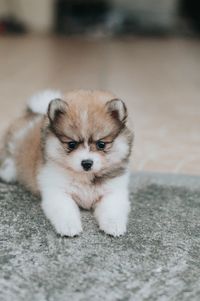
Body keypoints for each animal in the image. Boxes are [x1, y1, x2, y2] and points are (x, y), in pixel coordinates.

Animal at [0, 90, 134, 236]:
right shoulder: (57, 191)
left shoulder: (113, 191)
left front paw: (114, 225)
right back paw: (9, 171)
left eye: (101, 144)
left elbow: (112, 209)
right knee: (11, 154)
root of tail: (33, 113)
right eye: (71, 144)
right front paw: (69, 226)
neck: (85, 177)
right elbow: (65, 210)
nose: (87, 163)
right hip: (16, 142)